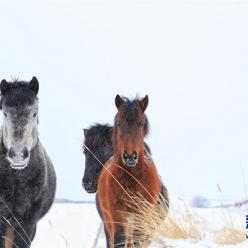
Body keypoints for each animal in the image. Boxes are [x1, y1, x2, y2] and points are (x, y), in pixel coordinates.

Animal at [97, 94, 161, 246]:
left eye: (141, 123)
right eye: (119, 123)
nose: (130, 156)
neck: (132, 178)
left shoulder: (142, 212)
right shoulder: (116, 213)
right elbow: (119, 239)